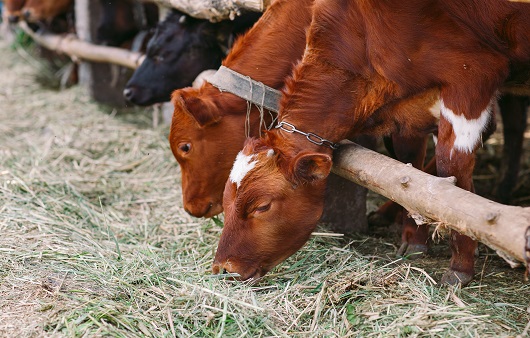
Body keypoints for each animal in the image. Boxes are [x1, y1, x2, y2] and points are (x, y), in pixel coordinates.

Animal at [214, 0, 528, 286]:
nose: (224, 269)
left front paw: (460, 265)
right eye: (226, 200)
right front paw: (415, 239)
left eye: (262, 207)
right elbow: (407, 172)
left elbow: (451, 168)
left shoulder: (473, 75)